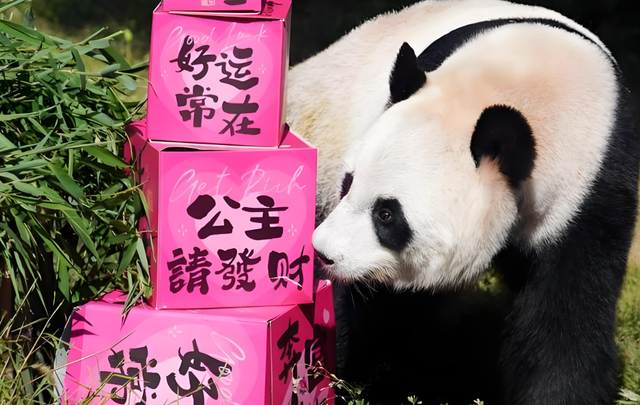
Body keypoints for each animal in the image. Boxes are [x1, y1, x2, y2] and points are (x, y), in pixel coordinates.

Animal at [286, 1, 639, 404]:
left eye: (387, 215)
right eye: (348, 184)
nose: (324, 252)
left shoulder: (592, 191)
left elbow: (566, 323)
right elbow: (355, 308)